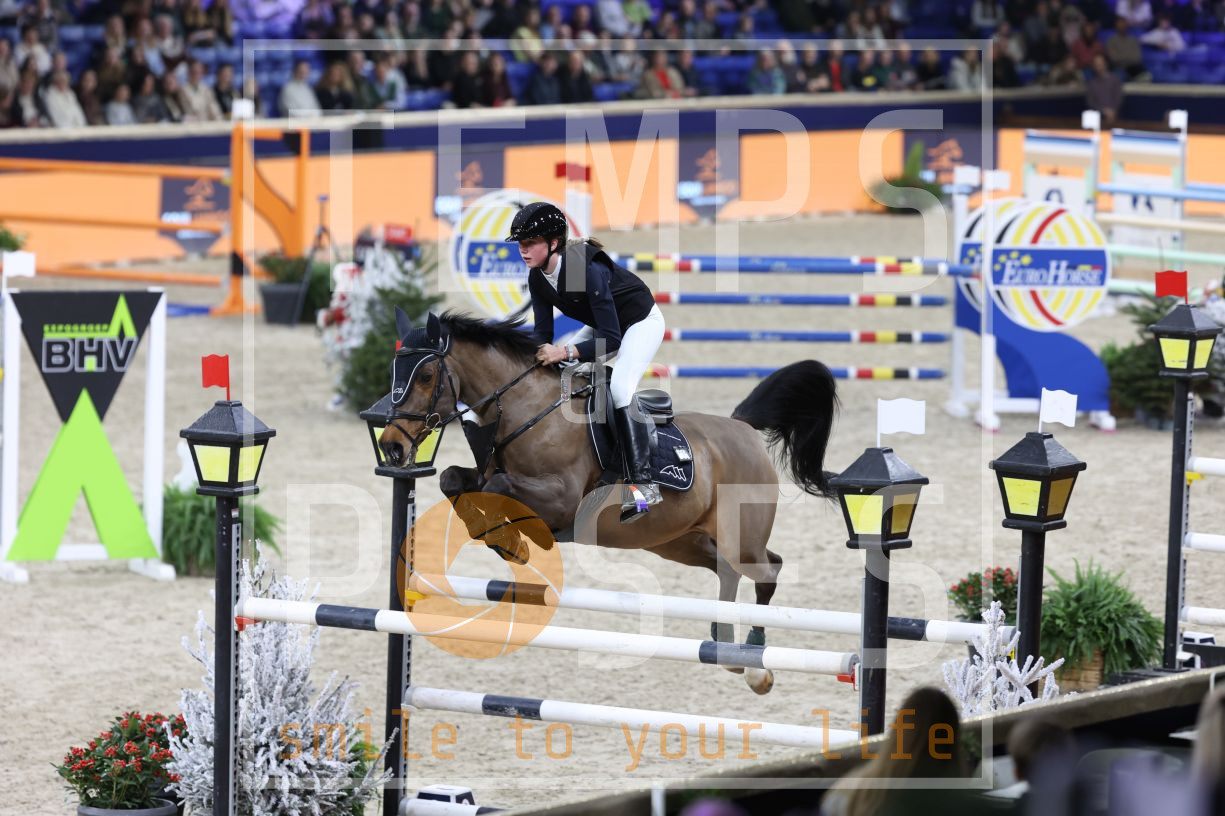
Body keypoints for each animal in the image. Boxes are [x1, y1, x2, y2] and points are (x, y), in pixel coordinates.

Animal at [379, 309, 839, 694]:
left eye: (425, 375)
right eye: (394, 370)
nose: (392, 447)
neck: (528, 410)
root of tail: (742, 427)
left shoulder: (563, 498)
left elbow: (501, 487)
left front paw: (518, 543)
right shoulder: (484, 474)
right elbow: (455, 480)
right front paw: (500, 538)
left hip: (739, 537)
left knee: (768, 570)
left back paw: (757, 664)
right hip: (678, 542)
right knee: (729, 571)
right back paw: (726, 648)